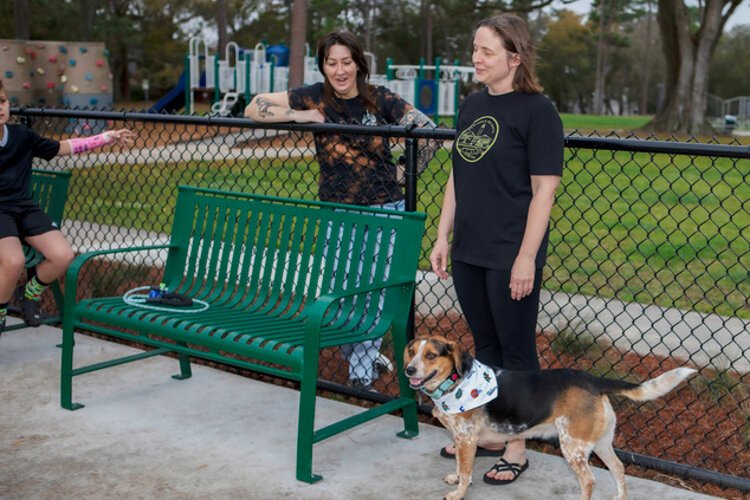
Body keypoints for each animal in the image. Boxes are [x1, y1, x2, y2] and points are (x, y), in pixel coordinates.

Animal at [406, 336, 700, 500]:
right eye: (411, 352)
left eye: (431, 355)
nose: (408, 370)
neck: (457, 382)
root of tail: (594, 381)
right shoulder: (461, 440)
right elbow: (460, 465)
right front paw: (455, 478)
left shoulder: (467, 440)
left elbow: (467, 471)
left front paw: (458, 493)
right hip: (600, 442)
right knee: (618, 468)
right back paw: (620, 497)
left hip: (573, 447)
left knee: (589, 481)